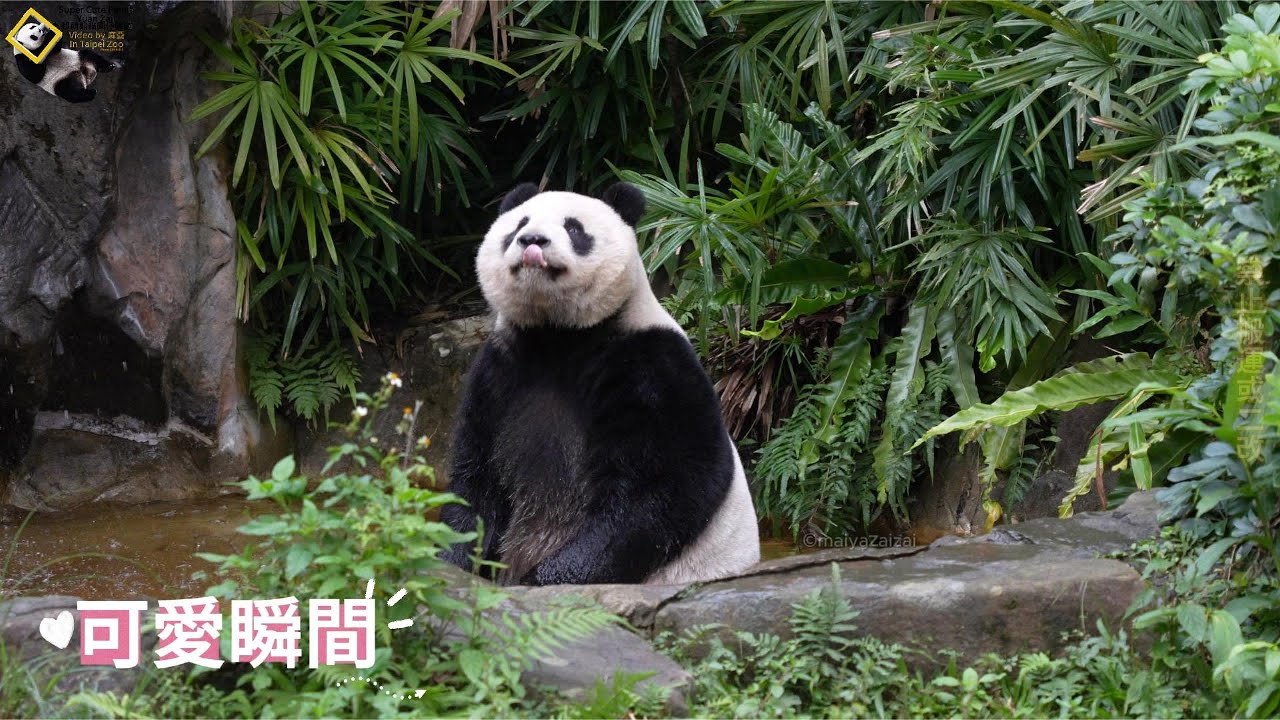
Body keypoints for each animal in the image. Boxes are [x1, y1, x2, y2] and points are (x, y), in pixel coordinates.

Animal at [441, 181, 761, 586]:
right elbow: (476, 476)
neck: (557, 337)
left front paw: (546, 579)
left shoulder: (650, 363)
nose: (532, 240)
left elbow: (663, 489)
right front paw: (453, 559)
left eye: (574, 228)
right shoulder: (499, 371)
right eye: (518, 225)